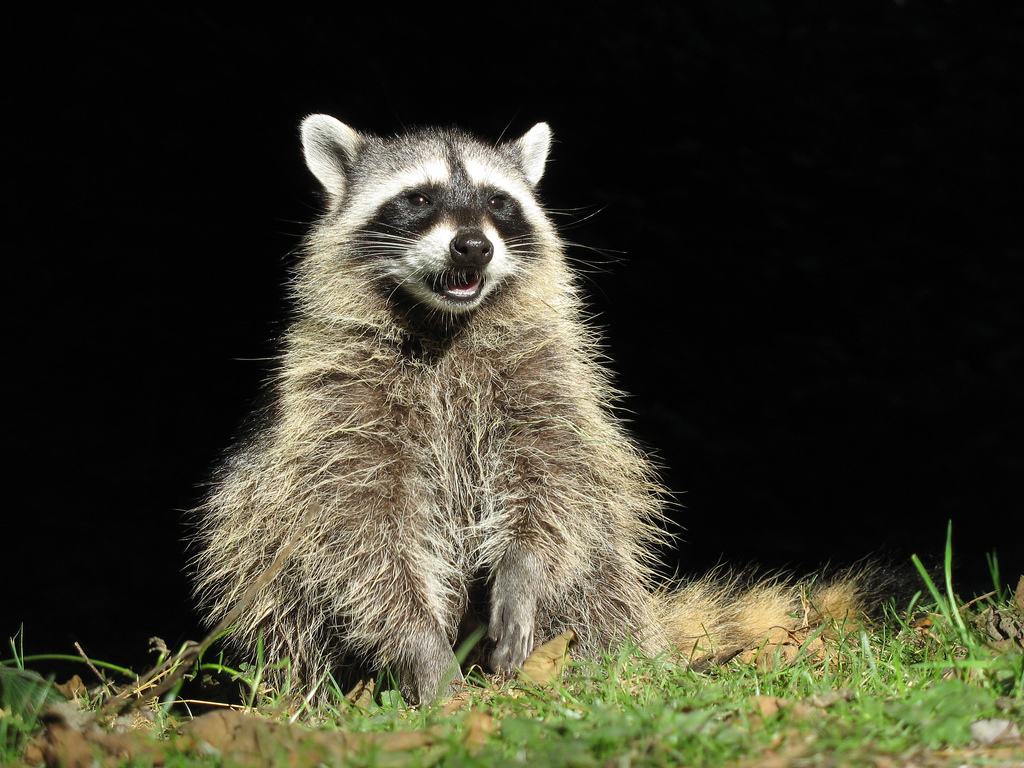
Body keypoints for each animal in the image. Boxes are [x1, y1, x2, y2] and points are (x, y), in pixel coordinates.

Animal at [192, 112, 864, 704]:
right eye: (418, 199)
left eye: (499, 202)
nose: (472, 247)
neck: (444, 326)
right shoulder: (336, 402)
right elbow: (357, 527)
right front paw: (414, 639)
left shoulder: (546, 374)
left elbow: (555, 481)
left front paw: (523, 572)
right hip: (261, 564)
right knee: (277, 590)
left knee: (598, 565)